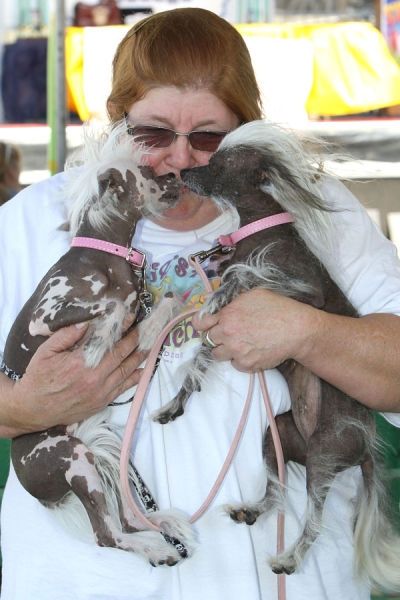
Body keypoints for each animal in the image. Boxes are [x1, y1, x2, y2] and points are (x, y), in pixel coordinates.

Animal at [1, 123, 195, 568]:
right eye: (148, 171)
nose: (176, 175)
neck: (106, 254)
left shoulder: (140, 320)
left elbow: (163, 305)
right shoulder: (46, 314)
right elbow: (108, 304)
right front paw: (96, 344)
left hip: (98, 455)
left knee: (124, 518)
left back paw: (161, 528)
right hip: (71, 457)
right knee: (107, 535)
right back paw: (155, 546)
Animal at [154, 119, 400, 592]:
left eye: (216, 162)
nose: (183, 173)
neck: (255, 229)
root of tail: (364, 450)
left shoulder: (303, 290)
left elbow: (244, 273)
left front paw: (223, 289)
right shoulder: (221, 337)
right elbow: (199, 360)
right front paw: (176, 403)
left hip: (324, 455)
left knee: (314, 520)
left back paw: (289, 559)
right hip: (277, 437)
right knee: (276, 490)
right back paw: (251, 509)